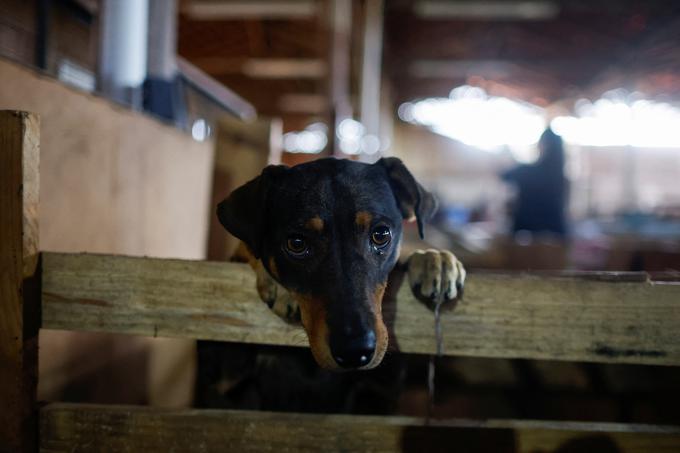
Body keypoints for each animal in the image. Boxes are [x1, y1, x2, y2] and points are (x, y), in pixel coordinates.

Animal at [216, 157, 462, 370]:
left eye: (381, 235)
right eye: (296, 243)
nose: (355, 351)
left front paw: (435, 260)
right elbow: (245, 247)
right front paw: (279, 287)